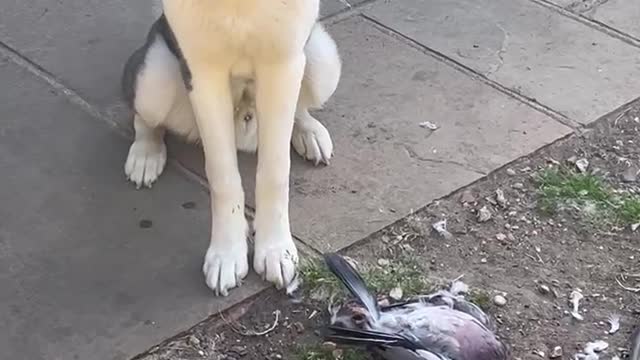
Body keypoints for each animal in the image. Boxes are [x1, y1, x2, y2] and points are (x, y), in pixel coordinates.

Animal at [120, 0, 340, 296]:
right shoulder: (203, 74)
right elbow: (222, 177)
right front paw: (227, 255)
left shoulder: (283, 65)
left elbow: (275, 172)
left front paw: (275, 249)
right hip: (153, 79)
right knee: (144, 115)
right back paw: (146, 152)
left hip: (322, 59)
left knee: (300, 106)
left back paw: (309, 131)